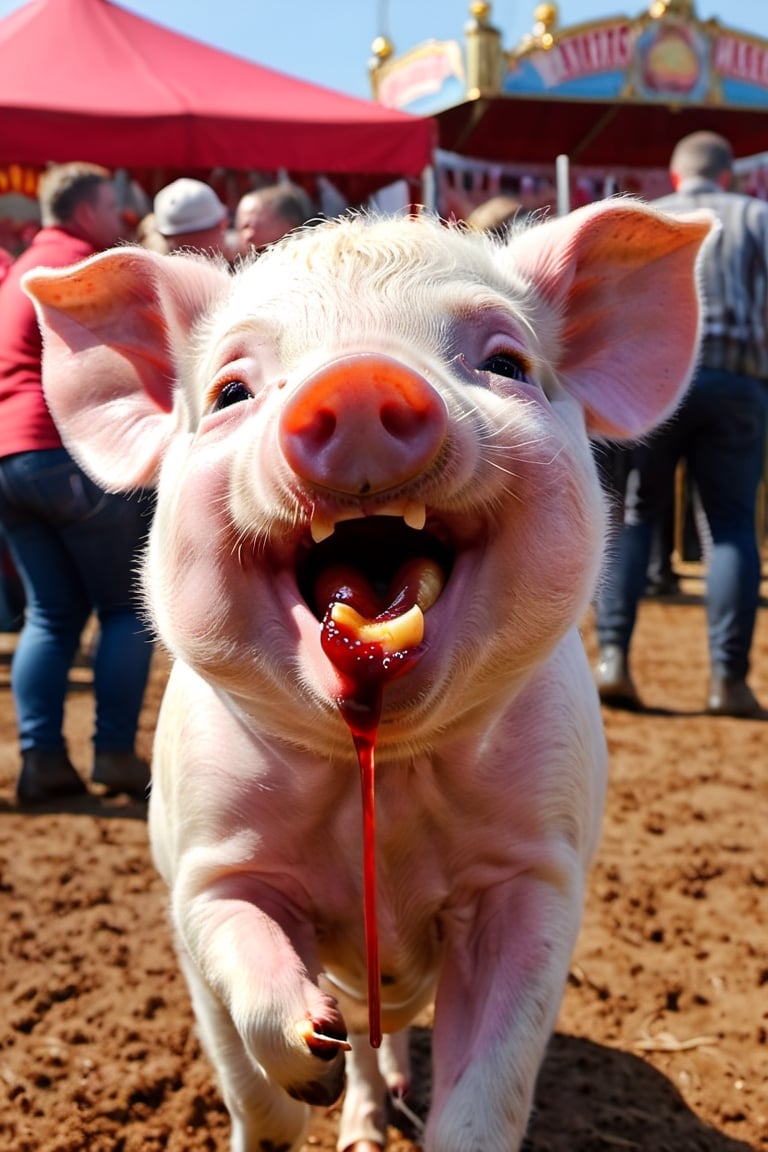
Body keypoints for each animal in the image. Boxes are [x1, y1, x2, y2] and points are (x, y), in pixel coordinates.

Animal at [23, 200, 711, 1152]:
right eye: (231, 392)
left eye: (506, 363)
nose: (355, 381)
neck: (380, 768)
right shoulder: (202, 859)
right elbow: (244, 1008)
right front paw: (307, 1059)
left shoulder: (536, 872)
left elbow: (488, 1087)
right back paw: (346, 1107)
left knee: (397, 1043)